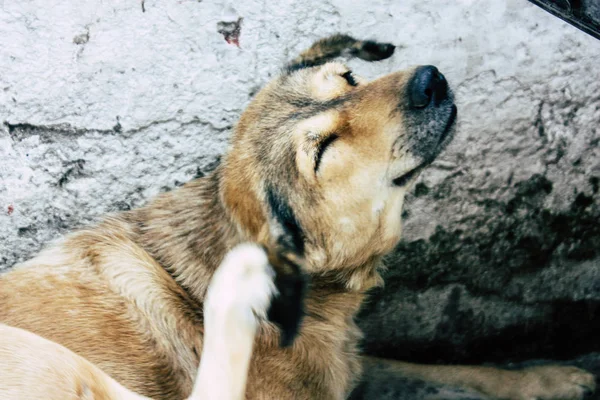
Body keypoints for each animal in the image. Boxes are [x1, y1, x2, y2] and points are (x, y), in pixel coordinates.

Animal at [0, 35, 596, 400]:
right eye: (324, 149)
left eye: (351, 78)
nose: (430, 80)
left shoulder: (348, 366)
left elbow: (451, 370)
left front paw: (551, 379)